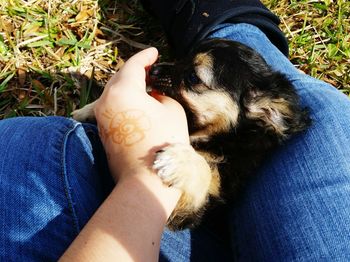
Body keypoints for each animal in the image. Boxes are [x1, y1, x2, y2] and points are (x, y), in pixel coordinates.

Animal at [72, 37, 310, 230]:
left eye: (193, 77)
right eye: (181, 58)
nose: (153, 69)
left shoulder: (189, 212)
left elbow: (202, 170)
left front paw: (180, 161)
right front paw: (88, 109)